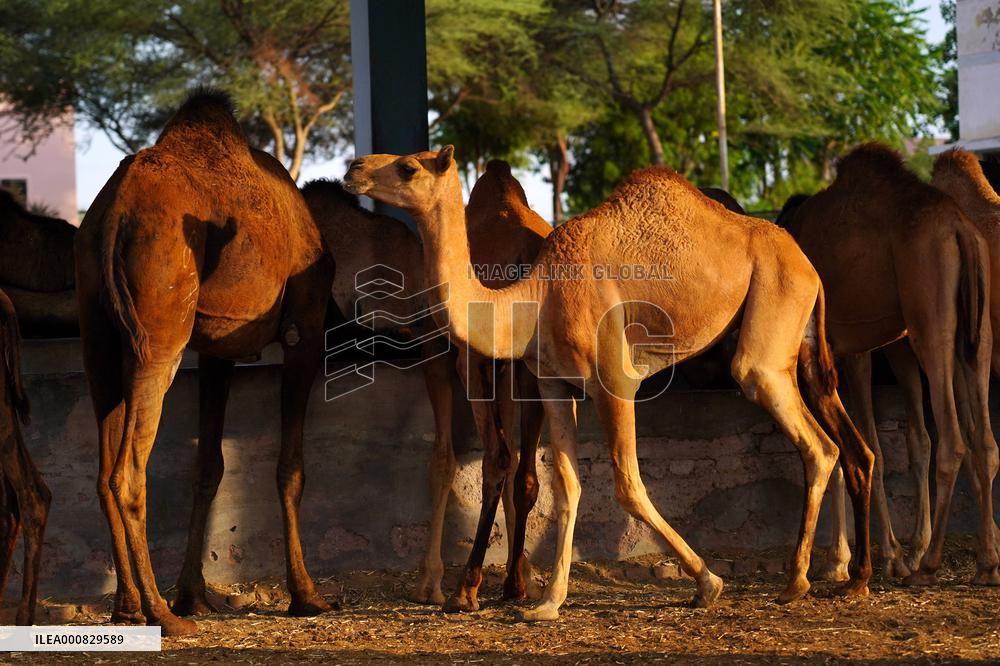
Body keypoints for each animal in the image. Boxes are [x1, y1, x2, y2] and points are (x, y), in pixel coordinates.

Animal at [75, 91, 335, 635]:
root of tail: (112, 216)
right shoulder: (306, 326)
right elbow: (291, 468)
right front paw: (307, 595)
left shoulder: (218, 347)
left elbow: (208, 466)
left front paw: (193, 594)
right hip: (161, 331)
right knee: (128, 472)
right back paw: (161, 616)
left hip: (97, 336)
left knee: (104, 471)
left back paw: (128, 607)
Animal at [343, 146, 875, 619]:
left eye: (408, 167)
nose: (353, 168)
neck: (534, 300)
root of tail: (809, 264)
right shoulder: (555, 385)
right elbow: (566, 485)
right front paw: (547, 603)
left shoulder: (615, 380)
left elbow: (627, 485)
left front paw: (708, 583)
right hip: (798, 341)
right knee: (832, 444)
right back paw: (826, 576)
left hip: (768, 328)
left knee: (811, 439)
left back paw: (798, 582)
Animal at [781, 143, 1000, 586]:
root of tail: (961, 230)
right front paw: (852, 559)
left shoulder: (848, 349)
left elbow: (864, 447)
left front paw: (859, 559)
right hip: (977, 332)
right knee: (984, 441)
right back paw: (986, 564)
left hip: (929, 322)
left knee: (953, 440)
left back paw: (928, 564)